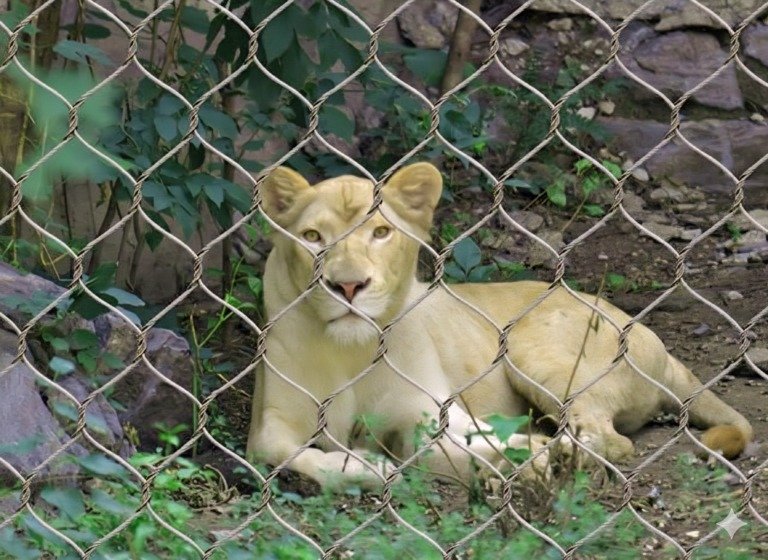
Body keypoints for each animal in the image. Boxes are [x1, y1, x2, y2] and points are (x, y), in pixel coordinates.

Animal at [245, 162, 752, 490]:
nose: (348, 286)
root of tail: (656, 343)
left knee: (609, 439)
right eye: (313, 237)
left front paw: (526, 459)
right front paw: (365, 468)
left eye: (381, 233)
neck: (350, 350)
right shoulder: (270, 424)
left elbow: (461, 443)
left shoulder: (433, 412)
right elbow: (287, 453)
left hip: (535, 353)